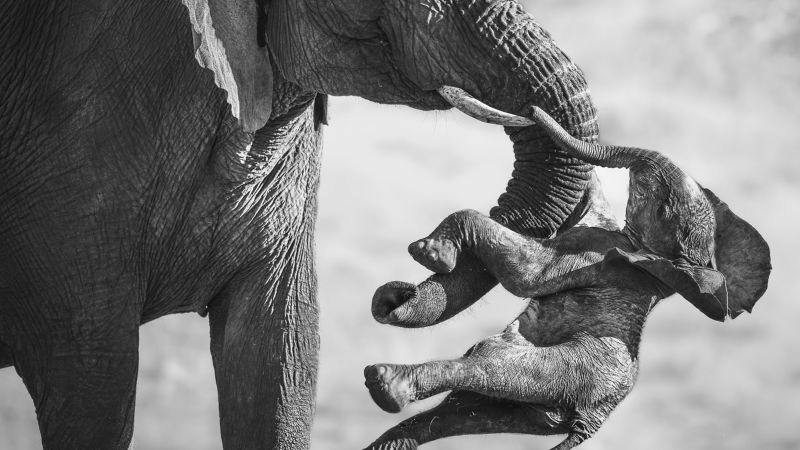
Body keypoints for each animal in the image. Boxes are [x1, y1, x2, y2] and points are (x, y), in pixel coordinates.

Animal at [364, 160, 770, 448]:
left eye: (664, 207)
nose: (397, 296)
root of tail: (590, 421)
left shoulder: (594, 251)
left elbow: (525, 274)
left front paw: (430, 254)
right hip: (535, 408)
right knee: (459, 412)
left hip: (573, 371)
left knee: (486, 365)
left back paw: (386, 383)